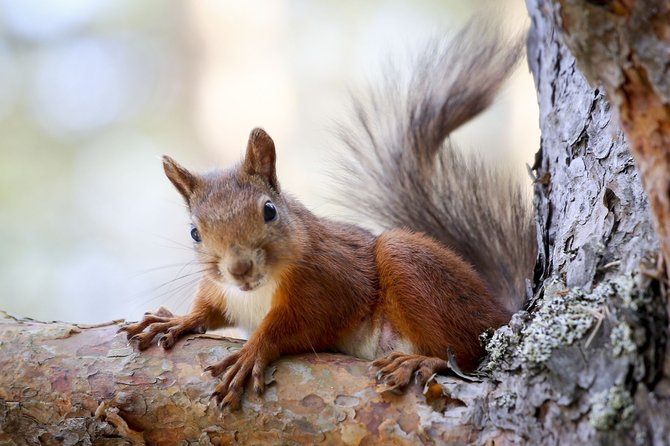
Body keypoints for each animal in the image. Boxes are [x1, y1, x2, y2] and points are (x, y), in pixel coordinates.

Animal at [123, 20, 540, 412]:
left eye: (269, 211)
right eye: (195, 232)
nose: (239, 269)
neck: (257, 292)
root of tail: (500, 312)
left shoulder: (331, 282)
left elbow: (298, 325)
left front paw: (252, 351)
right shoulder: (223, 292)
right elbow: (208, 310)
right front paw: (176, 320)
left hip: (412, 266)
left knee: (467, 350)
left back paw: (423, 361)